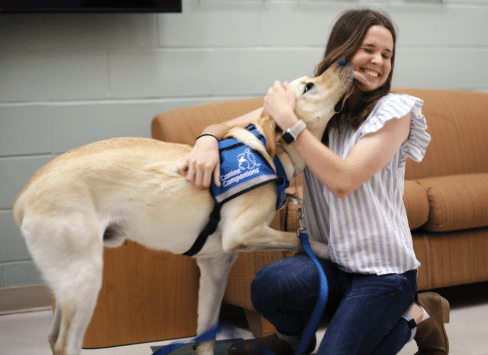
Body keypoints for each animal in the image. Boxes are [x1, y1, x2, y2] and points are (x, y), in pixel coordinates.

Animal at [13, 58, 352, 355]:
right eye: (308, 86)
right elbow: (299, 238)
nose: (345, 60)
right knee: (64, 344)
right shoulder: (242, 233)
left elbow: (205, 336)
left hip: (66, 279)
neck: (268, 155)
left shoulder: (215, 266)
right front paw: (329, 252)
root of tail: (25, 195)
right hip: (85, 275)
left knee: (52, 336)